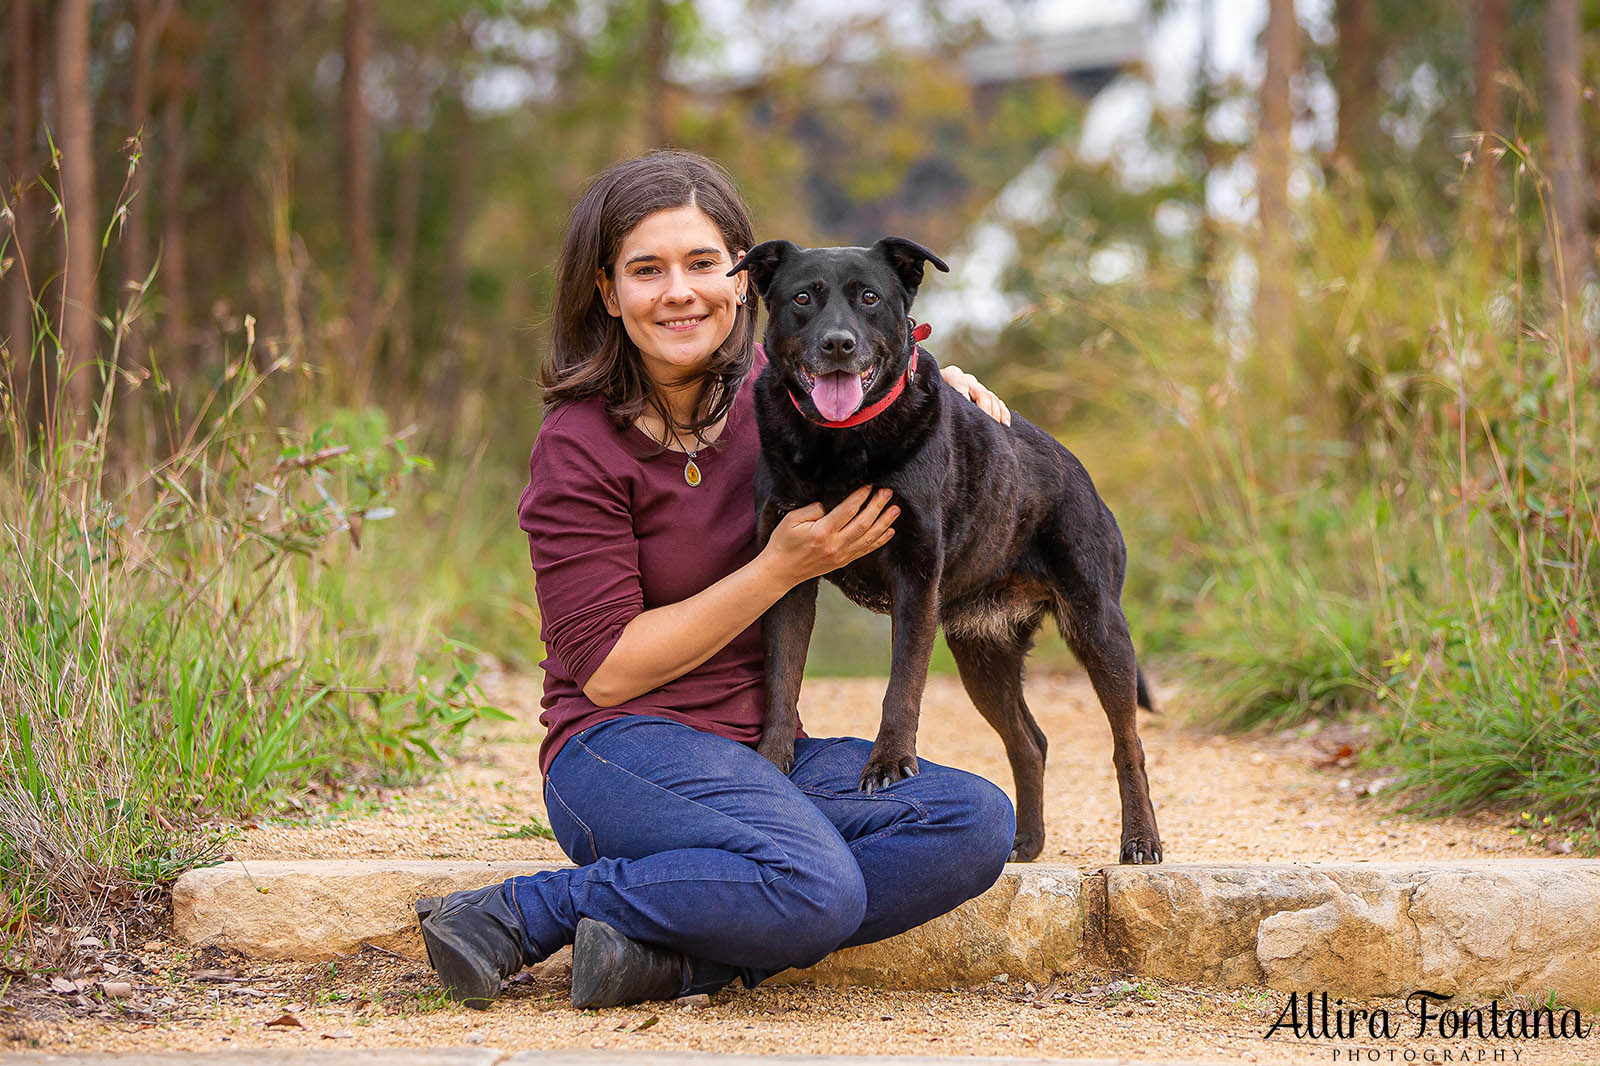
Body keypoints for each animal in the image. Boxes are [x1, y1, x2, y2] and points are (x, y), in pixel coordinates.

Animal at [729, 236, 1164, 857]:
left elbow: (902, 686)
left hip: (1099, 627)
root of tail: (1082, 475)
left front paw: (889, 764)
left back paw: (1140, 840)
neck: (841, 445)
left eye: (869, 297)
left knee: (1129, 744)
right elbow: (783, 678)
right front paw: (772, 760)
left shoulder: (915, 580)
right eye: (803, 299)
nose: (838, 344)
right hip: (982, 653)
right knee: (1030, 741)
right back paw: (1024, 843)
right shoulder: (787, 574)